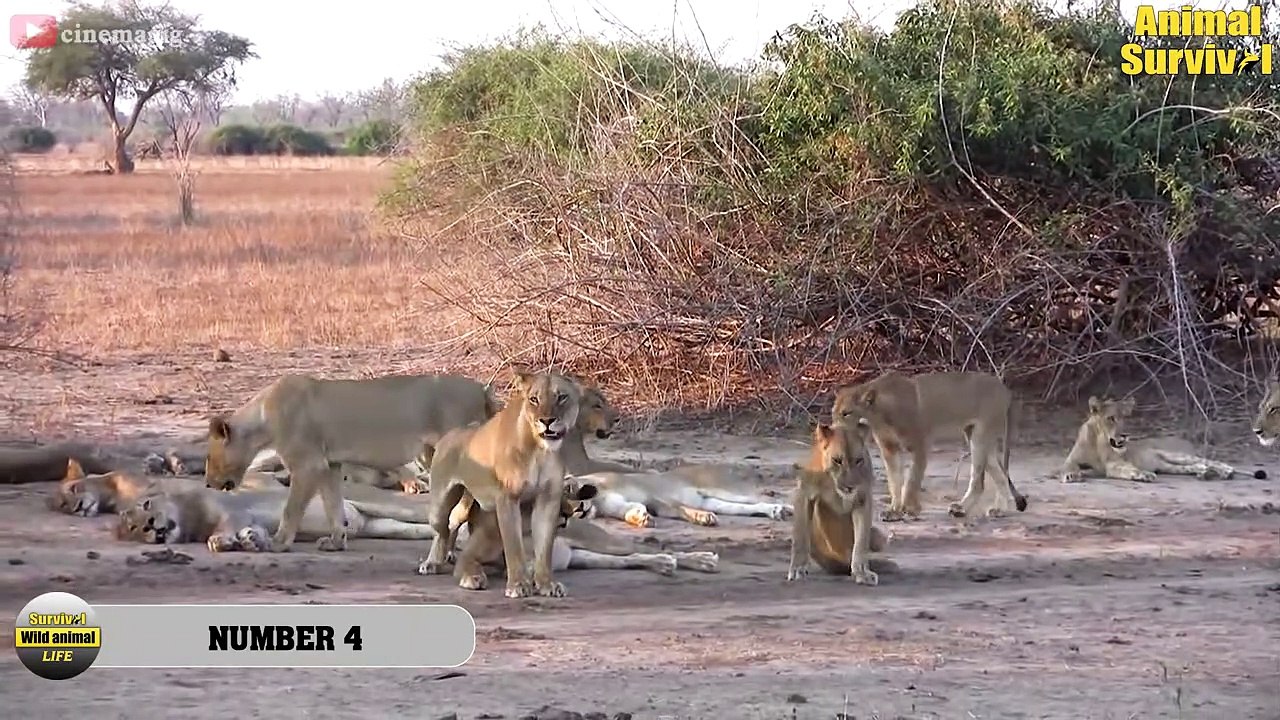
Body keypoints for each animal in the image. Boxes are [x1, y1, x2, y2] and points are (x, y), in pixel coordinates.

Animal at [203, 372, 498, 553]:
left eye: (209, 456)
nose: (207, 483)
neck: (262, 419)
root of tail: (480, 388)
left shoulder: (307, 465)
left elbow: (291, 509)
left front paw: (278, 543)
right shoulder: (329, 466)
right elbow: (333, 506)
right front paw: (335, 542)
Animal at [418, 370, 584, 599]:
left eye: (562, 397)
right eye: (534, 399)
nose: (547, 421)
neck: (540, 451)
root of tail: (449, 435)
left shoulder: (548, 499)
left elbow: (544, 549)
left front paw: (546, 584)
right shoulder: (508, 497)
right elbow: (513, 545)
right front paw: (517, 585)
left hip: (465, 503)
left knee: (452, 524)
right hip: (439, 505)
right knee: (441, 529)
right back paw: (434, 562)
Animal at [786, 423, 895, 586]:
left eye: (859, 460)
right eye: (837, 460)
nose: (850, 487)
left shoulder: (863, 499)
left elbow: (861, 541)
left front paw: (862, 572)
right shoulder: (804, 492)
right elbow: (800, 537)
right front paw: (797, 569)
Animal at [832, 370, 1028, 522]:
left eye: (846, 413)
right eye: (834, 413)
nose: (833, 428)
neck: (879, 417)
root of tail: (1005, 389)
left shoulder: (919, 445)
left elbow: (912, 481)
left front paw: (910, 509)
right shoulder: (889, 449)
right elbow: (894, 481)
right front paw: (894, 511)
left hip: (981, 436)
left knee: (979, 480)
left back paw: (962, 508)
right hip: (974, 435)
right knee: (1000, 475)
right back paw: (998, 509)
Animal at [1061, 396, 1260, 483]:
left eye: (1126, 417)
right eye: (1111, 418)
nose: (1125, 434)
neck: (1100, 441)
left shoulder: (1115, 465)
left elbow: (1129, 469)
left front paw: (1144, 475)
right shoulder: (1071, 459)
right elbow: (1069, 466)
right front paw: (1071, 475)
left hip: (1176, 455)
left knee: (1212, 461)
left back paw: (1225, 472)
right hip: (1170, 466)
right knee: (1197, 466)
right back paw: (1206, 474)